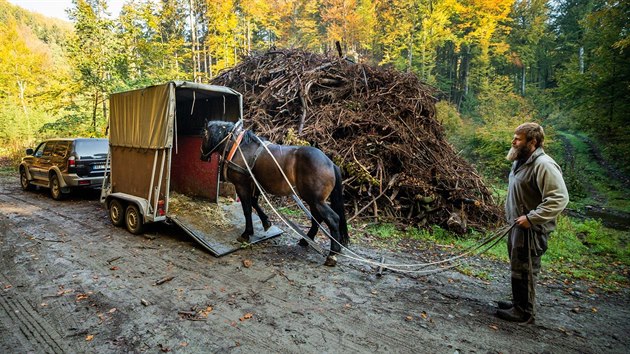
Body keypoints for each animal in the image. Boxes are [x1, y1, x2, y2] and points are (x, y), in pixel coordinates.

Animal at [201, 119, 350, 266]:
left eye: (203, 137)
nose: (202, 156)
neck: (239, 147)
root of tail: (331, 163)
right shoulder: (255, 184)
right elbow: (254, 203)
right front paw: (266, 222)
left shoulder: (241, 185)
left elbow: (247, 209)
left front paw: (247, 233)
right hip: (312, 199)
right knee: (317, 218)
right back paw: (306, 240)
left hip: (316, 200)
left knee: (332, 219)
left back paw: (332, 254)